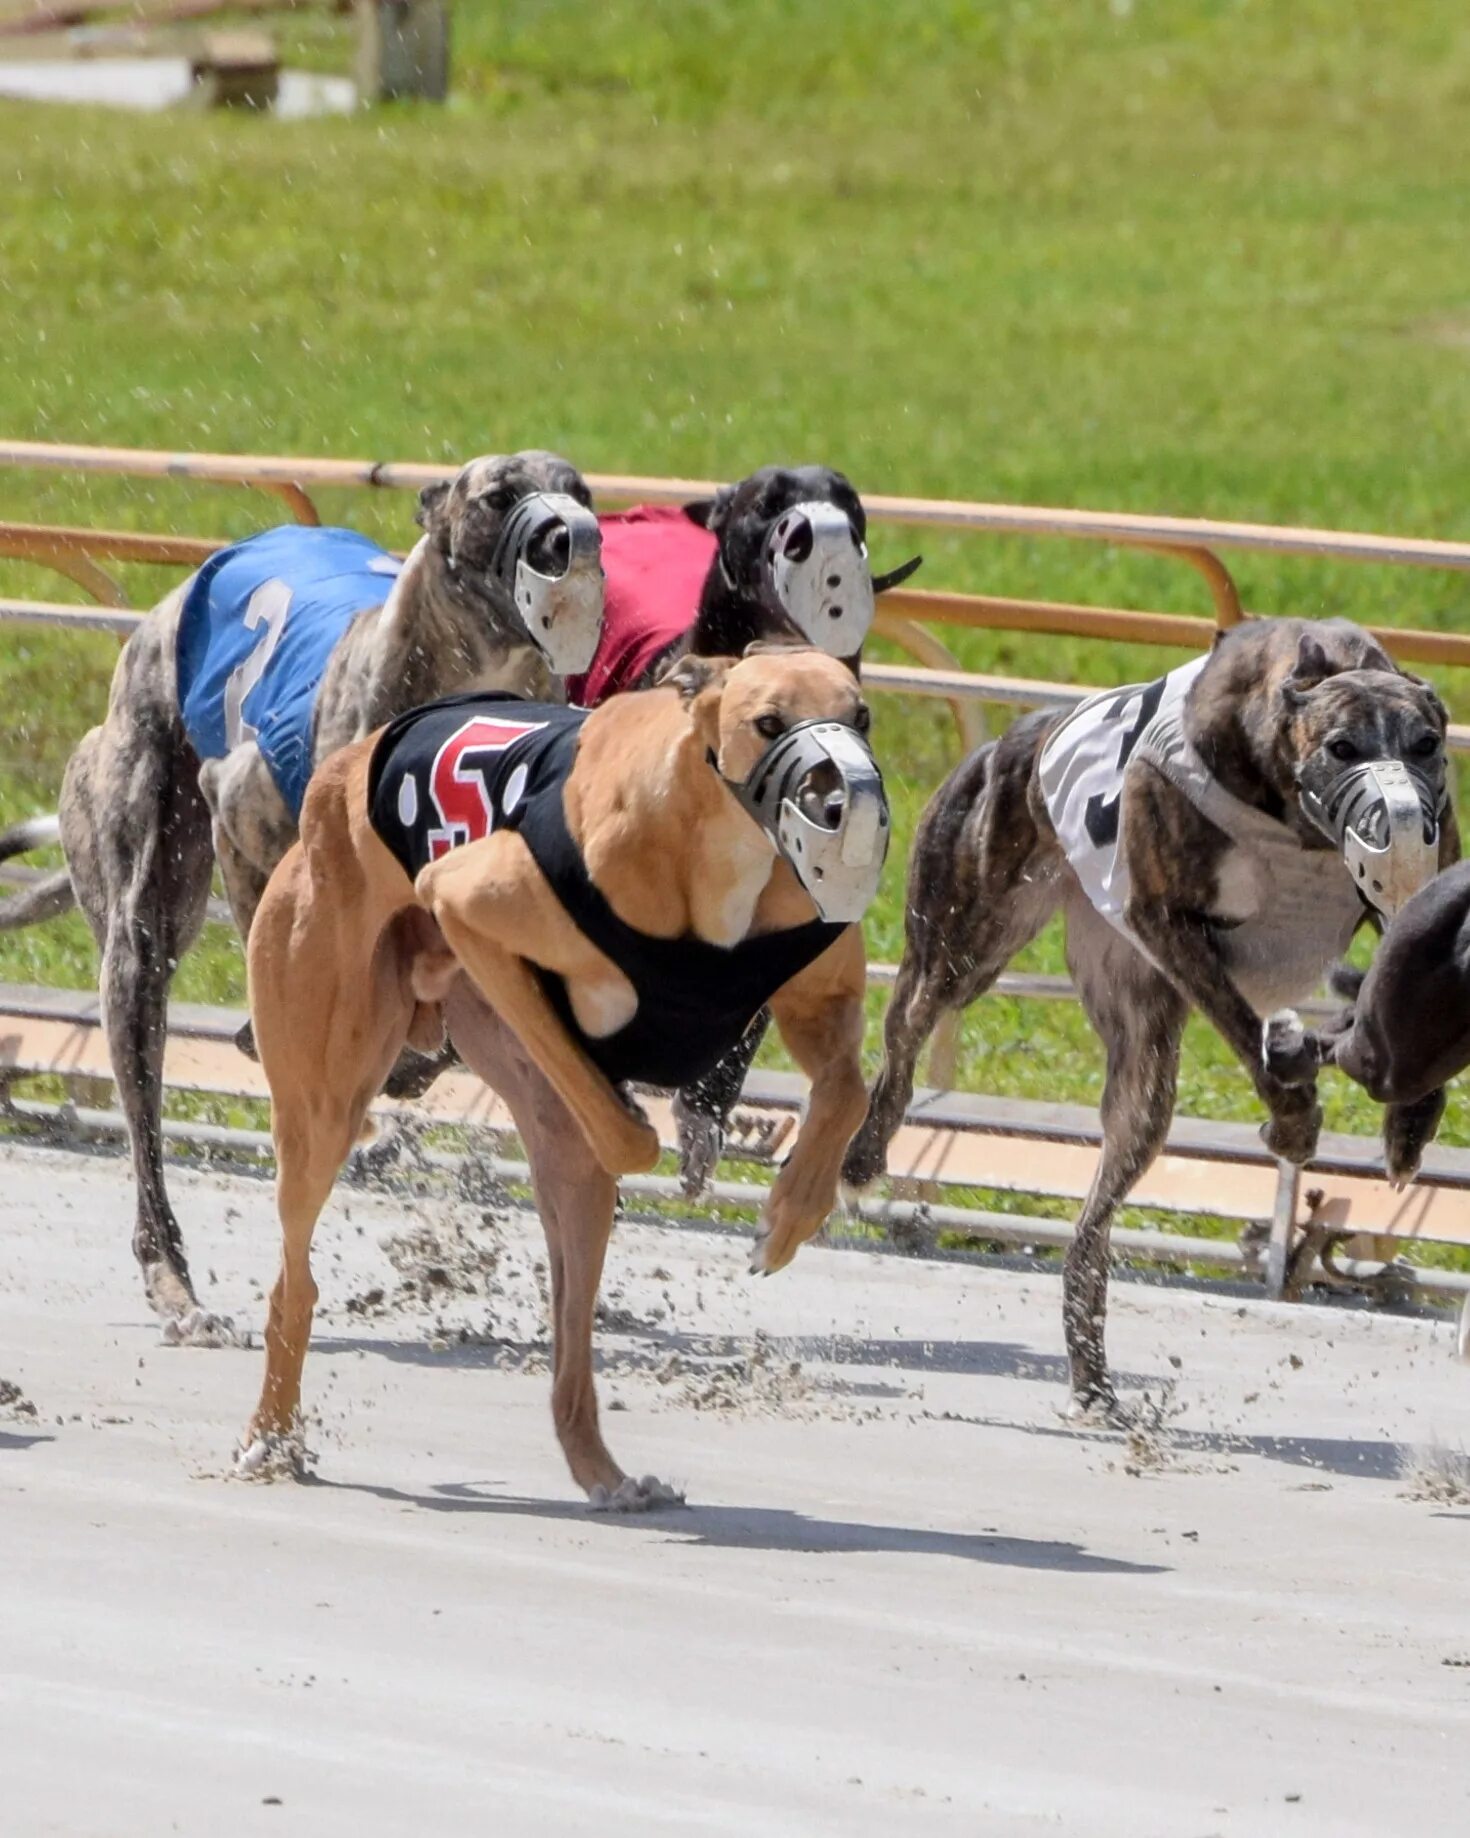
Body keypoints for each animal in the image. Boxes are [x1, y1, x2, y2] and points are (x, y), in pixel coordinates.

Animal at [0, 448, 599, 1338]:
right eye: (500, 496)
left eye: (581, 489)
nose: (574, 536)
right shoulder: (237, 809)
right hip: (144, 892)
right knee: (144, 1106)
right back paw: (173, 1281)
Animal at [240, 650, 885, 1507]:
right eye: (769, 721)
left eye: (862, 715)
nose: (846, 805)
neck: (719, 853)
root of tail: (338, 772)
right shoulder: (464, 901)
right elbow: (629, 1137)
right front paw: (645, 1128)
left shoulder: (819, 999)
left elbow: (848, 1090)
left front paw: (786, 1219)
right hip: (326, 1093)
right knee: (296, 1277)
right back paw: (270, 1436)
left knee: (570, 1340)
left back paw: (604, 1473)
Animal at [845, 621, 1455, 1418]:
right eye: (1342, 745)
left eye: (1427, 742)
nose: (1398, 820)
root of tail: (1007, 741)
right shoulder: (1165, 921)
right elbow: (1245, 1032)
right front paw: (1294, 1121)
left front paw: (1407, 1129)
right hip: (962, 944)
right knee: (903, 1046)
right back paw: (861, 1157)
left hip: (1137, 1050)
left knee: (1094, 1219)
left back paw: (1092, 1375)